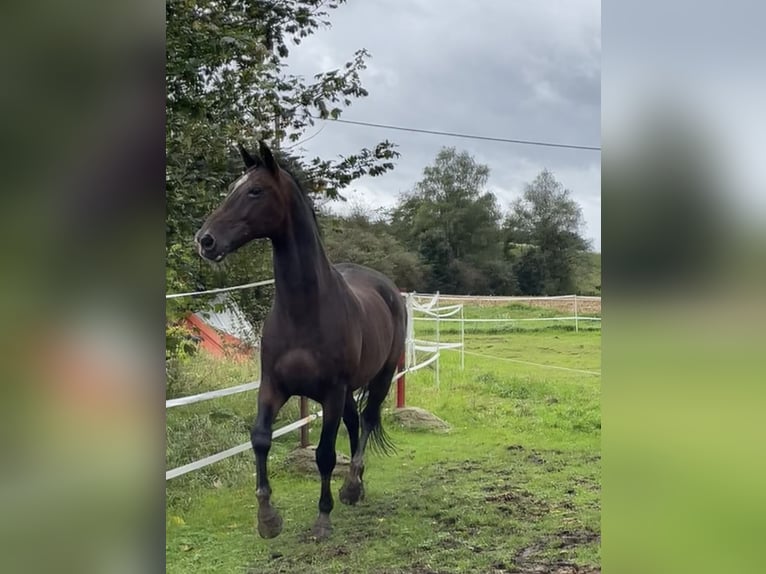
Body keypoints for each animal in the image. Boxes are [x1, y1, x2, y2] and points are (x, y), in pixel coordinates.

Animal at [195, 142, 408, 544]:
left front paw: (323, 518)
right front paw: (267, 517)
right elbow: (260, 438)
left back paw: (353, 484)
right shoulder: (273, 386)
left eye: (255, 191)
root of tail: (387, 287)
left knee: (367, 420)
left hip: (382, 377)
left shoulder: (331, 392)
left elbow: (324, 454)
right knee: (354, 423)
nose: (205, 240)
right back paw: (355, 487)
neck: (303, 311)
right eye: (232, 187)